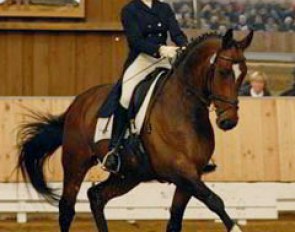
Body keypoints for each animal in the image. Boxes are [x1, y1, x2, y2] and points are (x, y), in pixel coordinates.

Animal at [17, 29, 254, 232]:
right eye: (223, 72)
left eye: (243, 73)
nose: (228, 121)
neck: (184, 109)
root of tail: (78, 102)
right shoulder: (180, 171)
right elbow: (214, 200)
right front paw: (235, 227)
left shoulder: (190, 176)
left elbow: (175, 221)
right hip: (76, 161)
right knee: (67, 208)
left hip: (130, 174)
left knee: (96, 196)